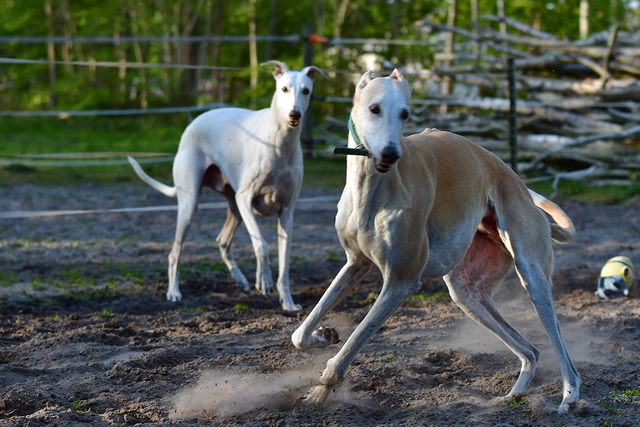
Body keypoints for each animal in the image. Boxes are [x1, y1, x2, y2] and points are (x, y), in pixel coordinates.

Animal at [131, 60, 330, 310]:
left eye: (306, 91)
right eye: (284, 89)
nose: (295, 114)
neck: (279, 144)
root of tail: (193, 122)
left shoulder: (287, 212)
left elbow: (284, 262)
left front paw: (287, 302)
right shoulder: (245, 198)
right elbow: (261, 245)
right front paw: (264, 280)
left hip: (234, 207)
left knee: (222, 241)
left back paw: (241, 279)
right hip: (191, 204)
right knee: (174, 253)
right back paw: (174, 291)